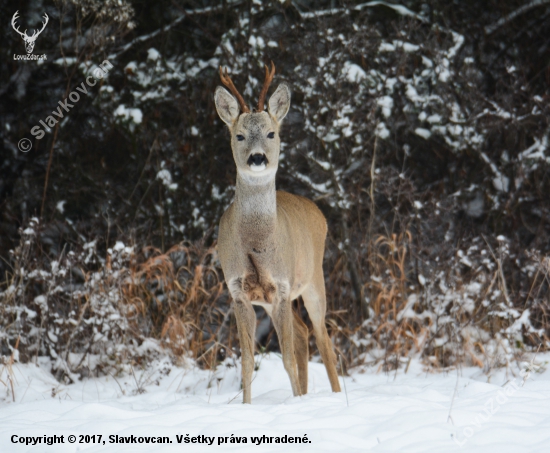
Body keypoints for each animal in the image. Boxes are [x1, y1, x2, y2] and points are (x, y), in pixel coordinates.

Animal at [215, 61, 340, 402]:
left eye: (271, 133)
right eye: (240, 135)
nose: (258, 157)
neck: (257, 244)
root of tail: (318, 213)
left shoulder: (283, 286)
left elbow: (286, 360)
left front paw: (295, 403)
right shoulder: (239, 291)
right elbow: (247, 361)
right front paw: (246, 406)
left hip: (314, 280)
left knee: (323, 340)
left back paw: (336, 396)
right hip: (274, 303)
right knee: (302, 334)